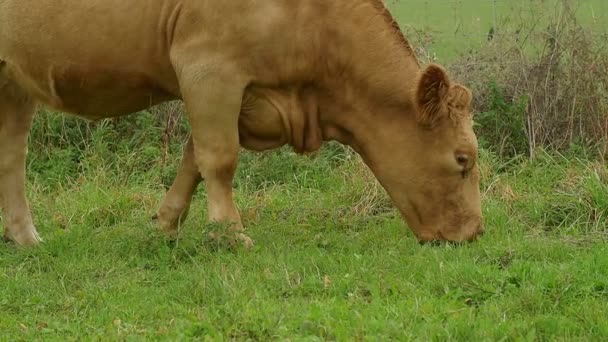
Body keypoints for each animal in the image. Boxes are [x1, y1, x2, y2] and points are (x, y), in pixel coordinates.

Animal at [1, 0, 484, 246]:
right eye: (463, 158)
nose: (475, 232)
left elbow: (194, 158)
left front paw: (167, 224)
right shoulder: (207, 68)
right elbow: (219, 159)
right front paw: (232, 234)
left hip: (14, 84)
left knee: (12, 158)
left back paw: (26, 239)